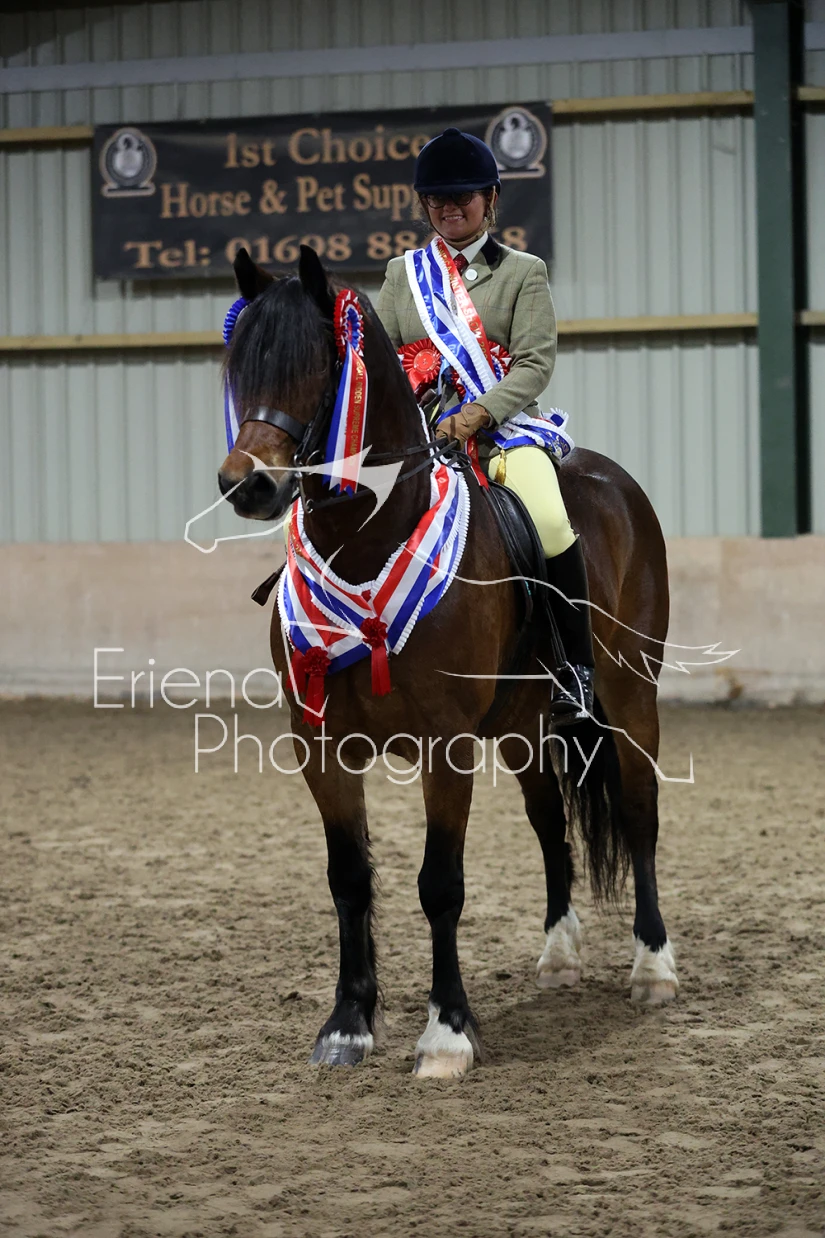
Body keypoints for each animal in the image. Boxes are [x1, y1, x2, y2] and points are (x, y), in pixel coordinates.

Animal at [216, 244, 679, 1078]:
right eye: (240, 365)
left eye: (315, 367)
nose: (248, 484)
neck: (368, 546)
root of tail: (610, 480)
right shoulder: (319, 746)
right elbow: (348, 878)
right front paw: (346, 1025)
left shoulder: (444, 744)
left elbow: (440, 884)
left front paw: (446, 1034)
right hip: (525, 724)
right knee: (549, 824)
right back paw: (558, 958)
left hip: (630, 696)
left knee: (637, 813)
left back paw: (653, 968)